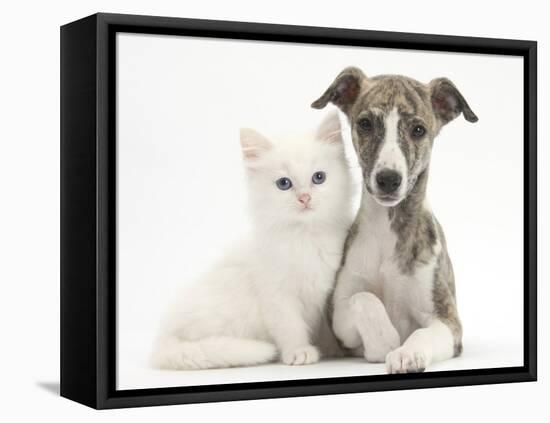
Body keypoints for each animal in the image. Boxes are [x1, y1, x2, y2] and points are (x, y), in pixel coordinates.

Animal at [152, 113, 354, 372]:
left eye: (319, 178)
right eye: (284, 183)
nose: (305, 198)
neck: (305, 236)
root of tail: (163, 339)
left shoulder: (324, 293)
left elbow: (325, 327)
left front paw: (332, 349)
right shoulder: (276, 295)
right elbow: (290, 327)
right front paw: (299, 352)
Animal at [314, 67, 478, 374]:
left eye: (419, 130)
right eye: (365, 124)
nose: (388, 179)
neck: (388, 230)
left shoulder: (448, 321)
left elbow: (422, 333)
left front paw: (406, 354)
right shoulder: (338, 316)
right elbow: (364, 299)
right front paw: (385, 341)